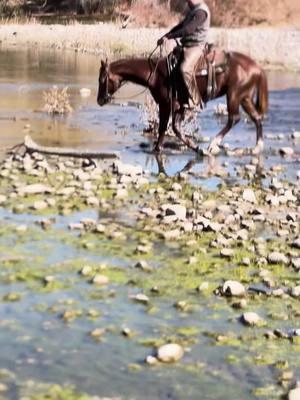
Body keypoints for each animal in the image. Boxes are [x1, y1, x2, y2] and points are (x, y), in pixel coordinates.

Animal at [97, 49, 268, 155]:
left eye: (102, 79)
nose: (99, 100)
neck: (155, 75)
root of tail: (257, 67)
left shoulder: (168, 105)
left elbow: (170, 128)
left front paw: (198, 149)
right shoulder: (177, 107)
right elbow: (170, 128)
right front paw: (158, 149)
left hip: (233, 95)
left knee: (234, 118)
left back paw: (213, 144)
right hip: (244, 97)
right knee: (256, 118)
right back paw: (257, 148)